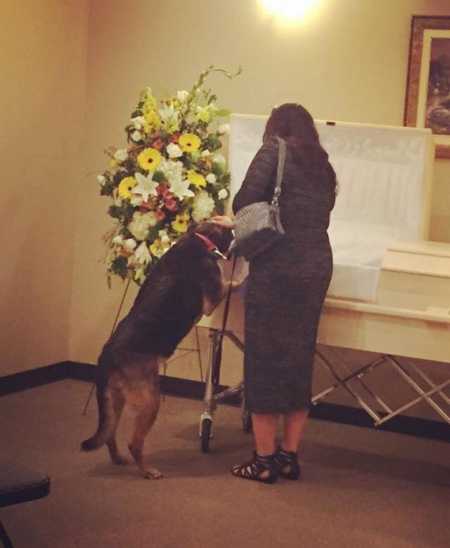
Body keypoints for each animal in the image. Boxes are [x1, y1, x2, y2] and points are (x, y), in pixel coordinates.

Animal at [81, 220, 234, 478]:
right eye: (231, 233)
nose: (235, 229)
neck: (199, 237)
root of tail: (106, 356)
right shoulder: (214, 297)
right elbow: (230, 284)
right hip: (150, 400)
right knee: (134, 443)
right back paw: (147, 471)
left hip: (116, 400)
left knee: (110, 434)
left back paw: (119, 459)